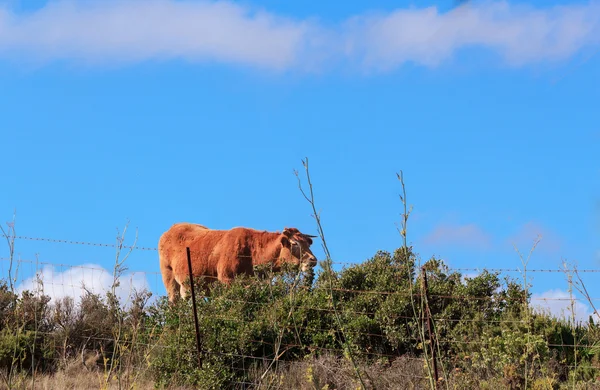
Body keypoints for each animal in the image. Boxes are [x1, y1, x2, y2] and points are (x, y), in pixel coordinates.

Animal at [159, 222, 318, 302]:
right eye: (295, 244)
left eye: (308, 243)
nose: (313, 259)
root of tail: (173, 227)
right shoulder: (226, 279)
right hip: (169, 278)